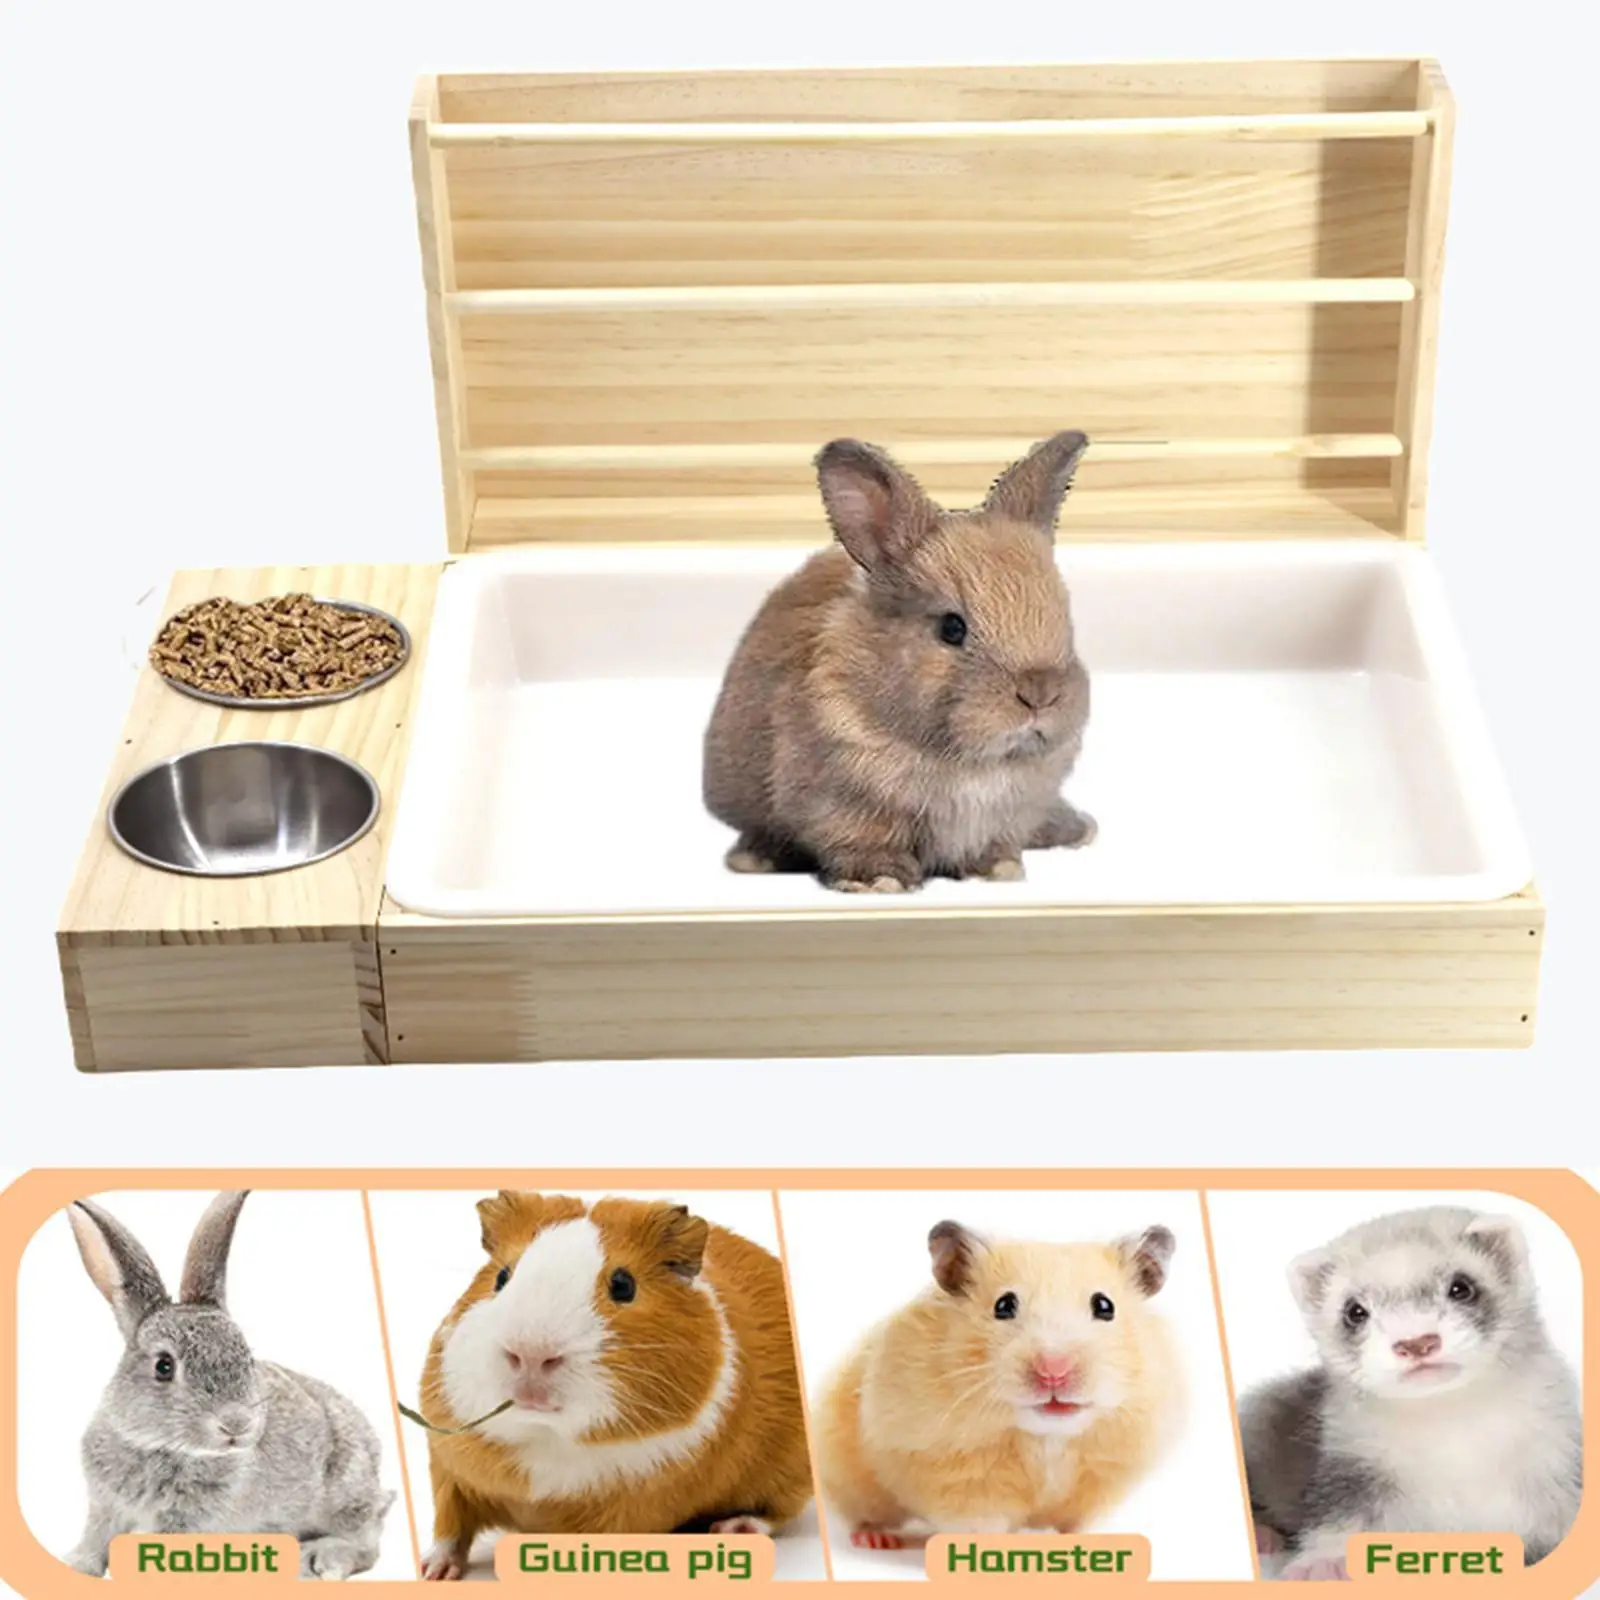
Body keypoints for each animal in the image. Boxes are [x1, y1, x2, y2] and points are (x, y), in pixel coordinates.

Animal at [61, 1191, 395, 1580]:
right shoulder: (105, 1506)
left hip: (345, 1491)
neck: (158, 1446)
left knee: (366, 1545)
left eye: (246, 1359)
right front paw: (77, 1566)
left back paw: (319, 1560)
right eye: (163, 1366)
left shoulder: (188, 1520)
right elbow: (96, 1538)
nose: (236, 1424)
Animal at [415, 1192, 813, 1580]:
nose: (530, 1355)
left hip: (789, 1471)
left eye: (623, 1285)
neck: (544, 1439)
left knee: (777, 1512)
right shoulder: (449, 1471)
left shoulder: (630, 1509)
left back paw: (731, 1528)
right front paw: (434, 1572)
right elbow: (449, 1528)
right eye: (501, 1277)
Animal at [702, 432, 1096, 893]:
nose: (1040, 694)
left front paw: (998, 870)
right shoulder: (845, 805)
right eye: (951, 628)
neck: (971, 763)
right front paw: (881, 880)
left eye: (1063, 611)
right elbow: (863, 842)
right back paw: (755, 858)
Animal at [814, 1220, 1184, 1546]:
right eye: (1003, 1305)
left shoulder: (1103, 1480)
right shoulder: (957, 1478)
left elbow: (1078, 1523)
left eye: (1105, 1306)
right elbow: (978, 1523)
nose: (1054, 1371)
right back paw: (876, 1539)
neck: (1047, 1436)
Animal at [1240, 1206, 1582, 1581]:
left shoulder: (1558, 1460)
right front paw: (1325, 1564)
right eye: (1354, 1311)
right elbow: (1341, 1514)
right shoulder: (1351, 1467)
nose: (1416, 1341)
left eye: (1461, 1287)